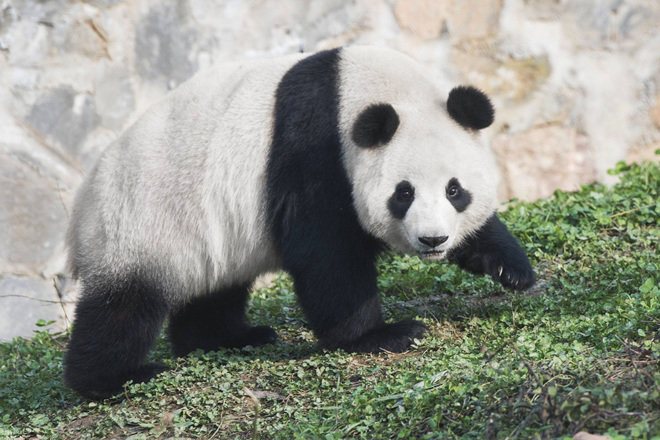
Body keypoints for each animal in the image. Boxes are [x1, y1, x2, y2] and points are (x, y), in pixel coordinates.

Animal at [63, 47, 536, 398]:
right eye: (403, 193)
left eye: (455, 190)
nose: (433, 239)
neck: (354, 90)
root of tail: (80, 206)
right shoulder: (314, 154)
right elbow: (326, 255)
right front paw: (382, 335)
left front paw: (511, 268)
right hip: (139, 222)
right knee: (123, 308)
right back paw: (114, 379)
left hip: (203, 232)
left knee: (214, 289)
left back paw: (229, 338)